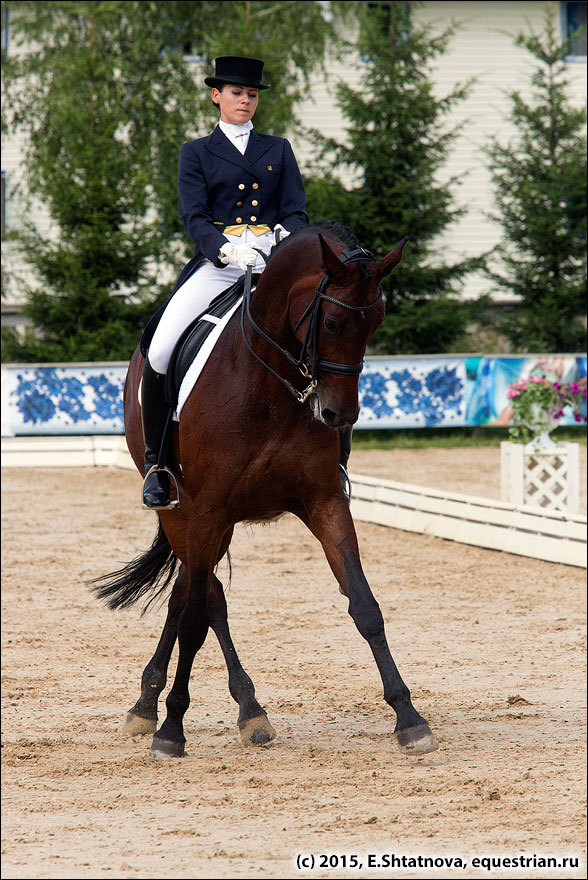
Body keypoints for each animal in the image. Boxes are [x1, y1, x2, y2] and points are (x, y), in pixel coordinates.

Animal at [94, 220, 438, 756]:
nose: (339, 416)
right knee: (204, 598)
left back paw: (166, 704)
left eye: (376, 323)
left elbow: (365, 606)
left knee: (186, 590)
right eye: (333, 323)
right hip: (179, 511)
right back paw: (212, 708)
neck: (269, 386)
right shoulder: (208, 510)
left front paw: (409, 717)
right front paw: (173, 730)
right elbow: (197, 618)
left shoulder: (324, 502)